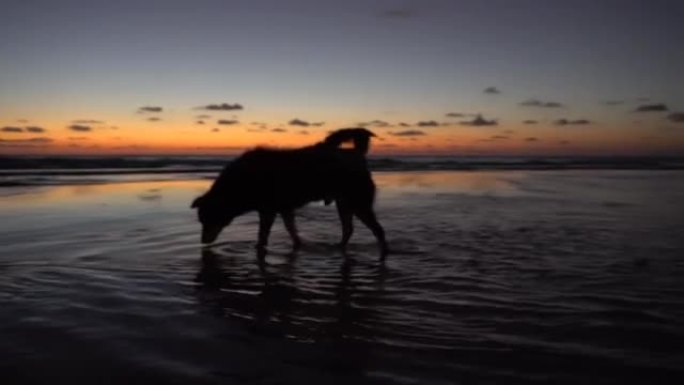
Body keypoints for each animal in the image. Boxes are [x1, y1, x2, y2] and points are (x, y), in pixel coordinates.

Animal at [190, 128, 388, 258]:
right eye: (202, 221)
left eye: (207, 220)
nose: (203, 242)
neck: (239, 183)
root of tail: (357, 153)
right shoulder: (284, 210)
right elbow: (292, 231)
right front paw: (297, 245)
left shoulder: (268, 211)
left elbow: (263, 236)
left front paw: (260, 249)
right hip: (344, 203)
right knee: (348, 229)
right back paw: (339, 247)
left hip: (358, 203)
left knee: (378, 230)